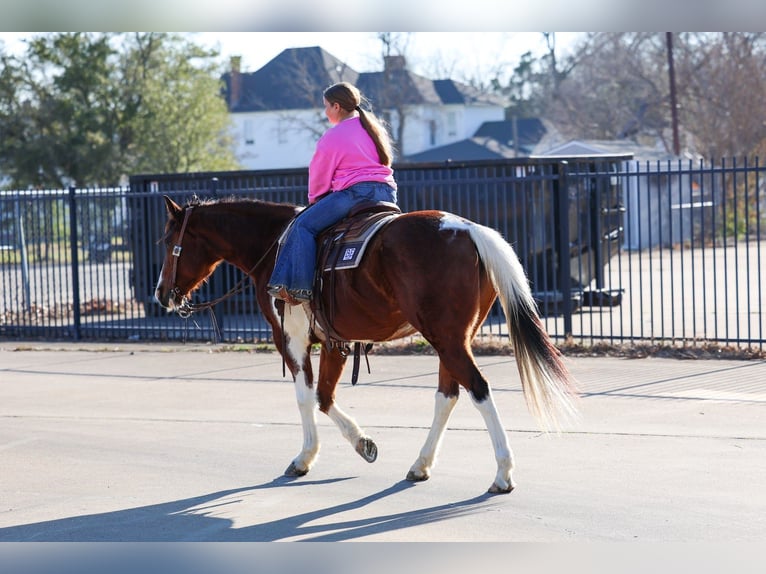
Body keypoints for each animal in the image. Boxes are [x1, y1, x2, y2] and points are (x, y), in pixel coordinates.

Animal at [154, 195, 579, 494]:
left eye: (169, 240)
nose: (160, 294)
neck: (273, 245)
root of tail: (468, 229)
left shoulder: (290, 338)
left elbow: (306, 397)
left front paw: (305, 457)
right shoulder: (334, 341)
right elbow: (325, 397)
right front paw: (363, 443)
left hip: (447, 338)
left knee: (478, 389)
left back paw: (503, 473)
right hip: (453, 339)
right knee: (448, 395)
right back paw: (421, 464)